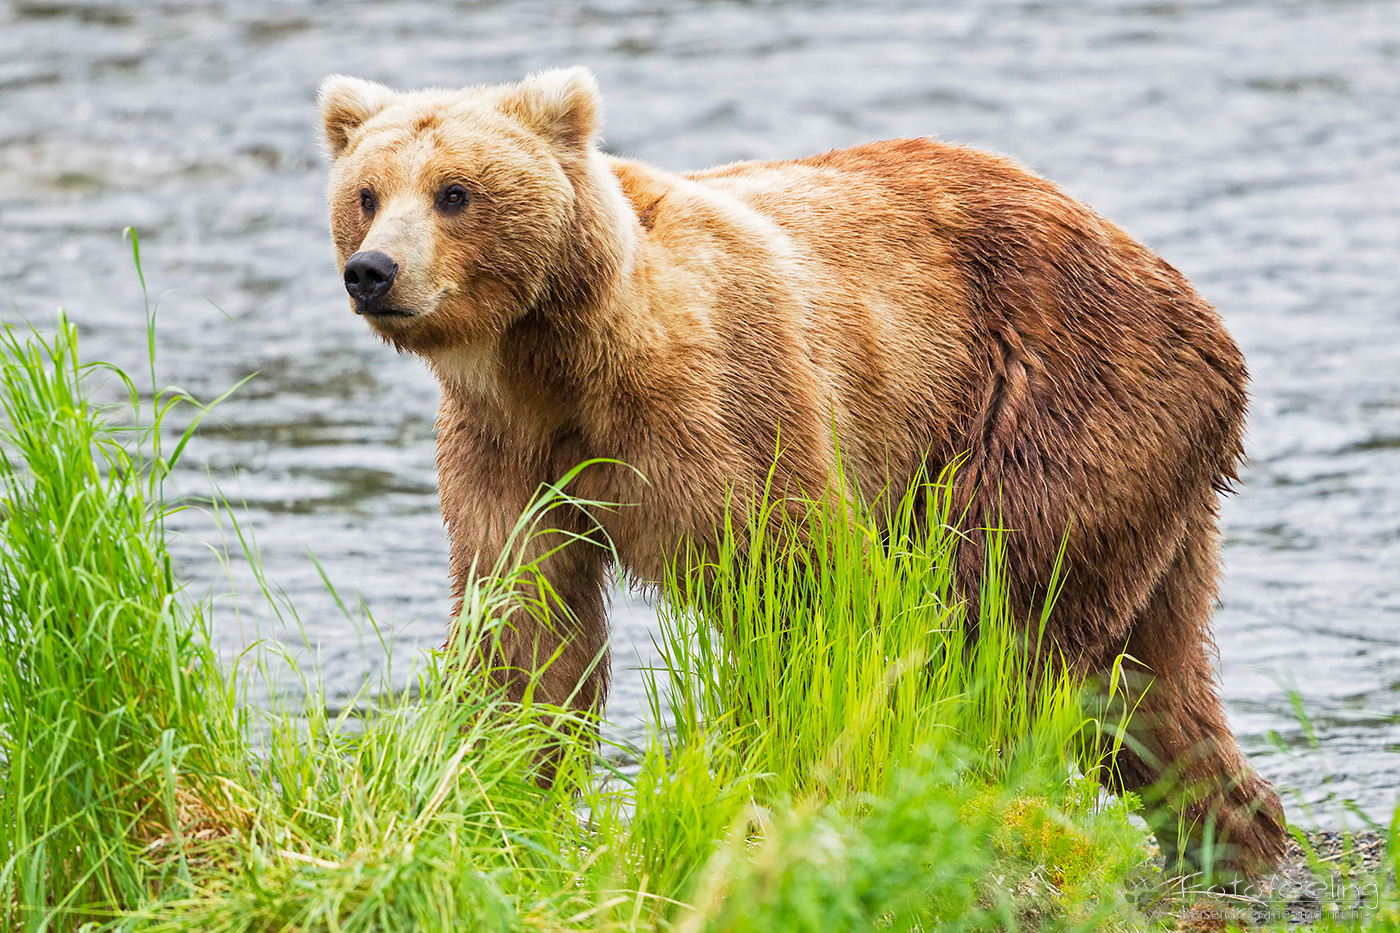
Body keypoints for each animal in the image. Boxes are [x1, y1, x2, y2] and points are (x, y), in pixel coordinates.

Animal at [318, 66, 1286, 879]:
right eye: (366, 194)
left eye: (455, 192)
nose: (373, 269)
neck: (562, 359)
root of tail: (1196, 308)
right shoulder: (508, 453)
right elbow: (526, 624)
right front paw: (496, 789)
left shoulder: (726, 409)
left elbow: (802, 595)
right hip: (1150, 477)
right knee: (1154, 684)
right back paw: (1236, 836)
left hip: (1058, 399)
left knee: (1000, 618)